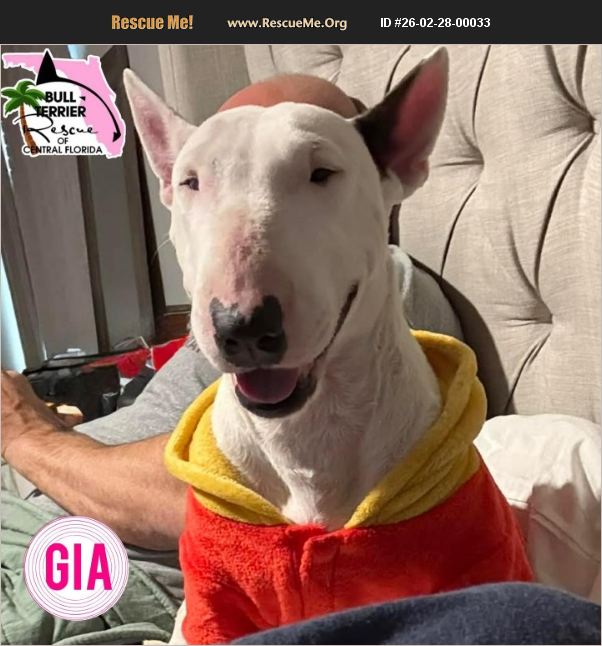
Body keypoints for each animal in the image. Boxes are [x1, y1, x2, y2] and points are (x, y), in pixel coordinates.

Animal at [124, 48, 532, 644]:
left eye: (323, 173)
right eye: (191, 182)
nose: (242, 328)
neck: (306, 441)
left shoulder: (481, 554)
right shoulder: (212, 599)